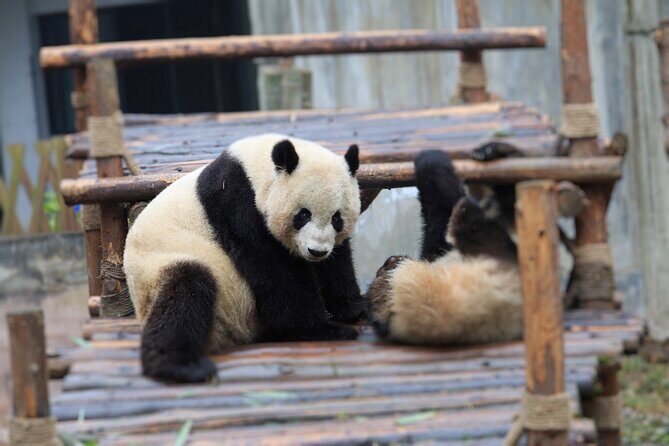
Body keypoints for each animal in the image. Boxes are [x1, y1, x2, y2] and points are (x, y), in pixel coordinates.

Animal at [124, 134, 364, 383]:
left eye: (337, 219)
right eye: (303, 215)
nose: (317, 252)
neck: (253, 167)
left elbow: (337, 263)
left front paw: (351, 307)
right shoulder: (238, 206)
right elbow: (276, 271)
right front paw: (318, 329)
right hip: (162, 266)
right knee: (185, 295)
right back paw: (179, 366)